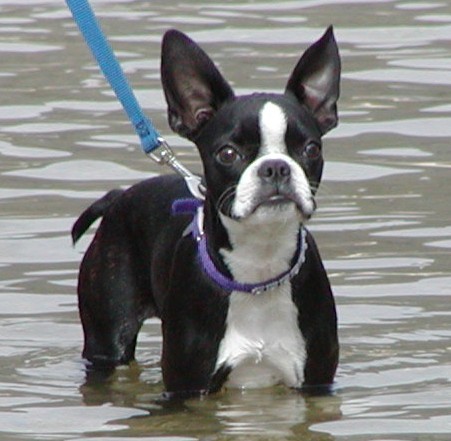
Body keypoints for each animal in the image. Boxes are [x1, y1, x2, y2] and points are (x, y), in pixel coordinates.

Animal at [72, 28, 340, 398]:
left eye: (311, 149)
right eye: (227, 153)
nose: (275, 167)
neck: (259, 268)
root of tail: (118, 198)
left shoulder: (317, 383)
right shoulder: (187, 388)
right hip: (106, 340)